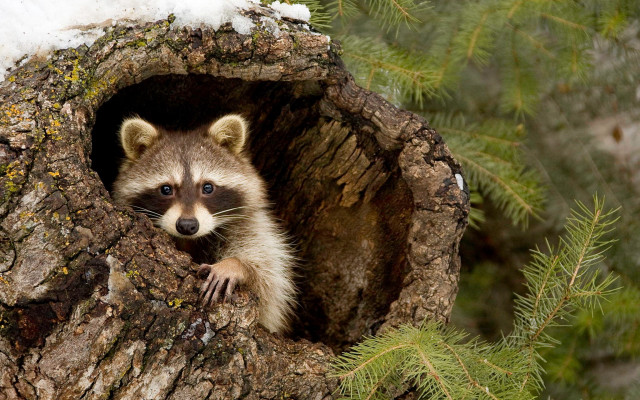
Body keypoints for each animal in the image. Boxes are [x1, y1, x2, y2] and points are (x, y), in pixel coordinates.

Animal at [112, 114, 296, 333]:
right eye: (166, 189)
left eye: (207, 187)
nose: (187, 225)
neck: (190, 240)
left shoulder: (251, 224)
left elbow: (269, 281)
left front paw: (236, 264)